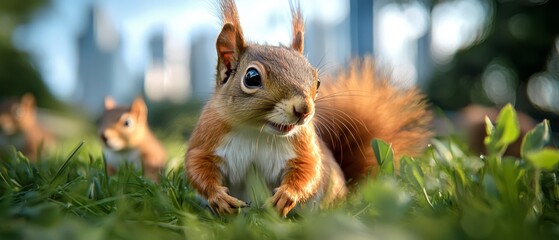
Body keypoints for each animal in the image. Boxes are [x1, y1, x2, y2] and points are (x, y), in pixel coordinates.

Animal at [184, 0, 434, 218]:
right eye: (252, 77)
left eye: (318, 81)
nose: (304, 110)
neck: (257, 132)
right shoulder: (207, 138)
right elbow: (197, 166)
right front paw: (218, 197)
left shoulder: (303, 144)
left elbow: (309, 169)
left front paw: (287, 196)